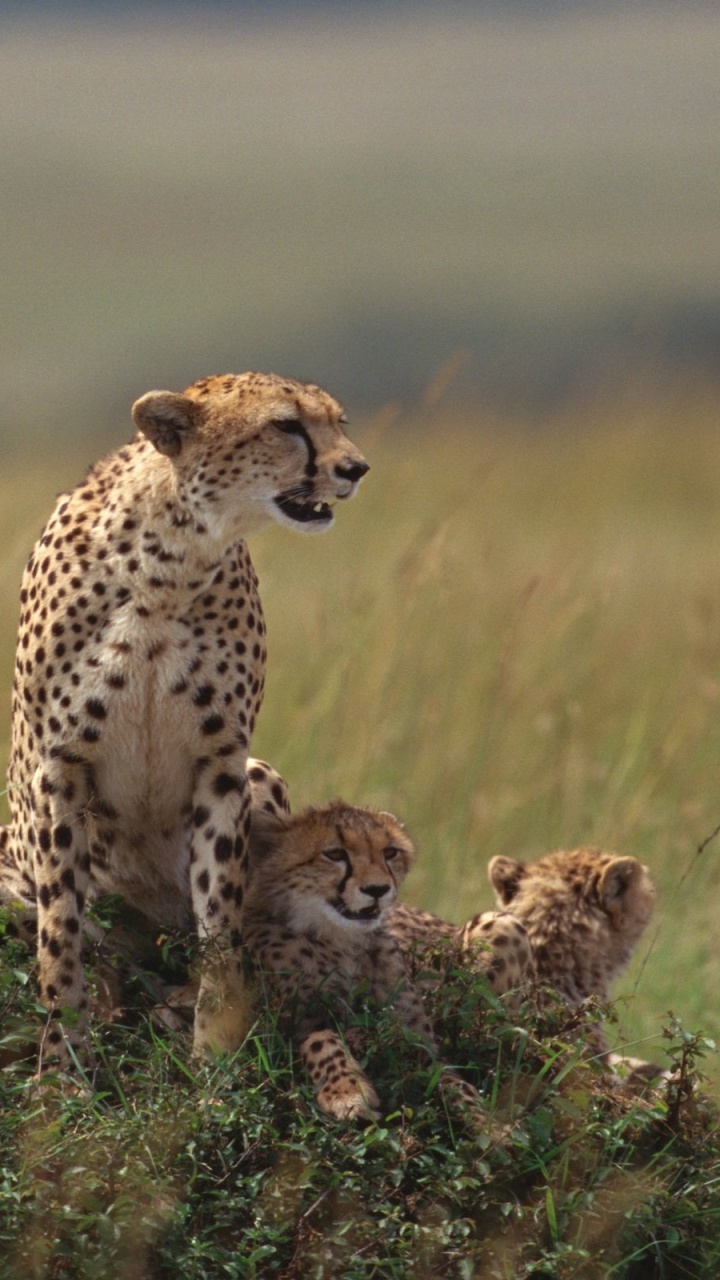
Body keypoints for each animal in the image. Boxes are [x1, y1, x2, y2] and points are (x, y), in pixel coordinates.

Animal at [0, 372, 368, 1070]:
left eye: (338, 421)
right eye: (286, 425)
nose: (356, 468)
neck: (169, 562)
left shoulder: (222, 763)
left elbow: (220, 915)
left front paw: (215, 1051)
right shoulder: (60, 768)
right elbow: (60, 935)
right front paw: (64, 1066)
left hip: (261, 774)